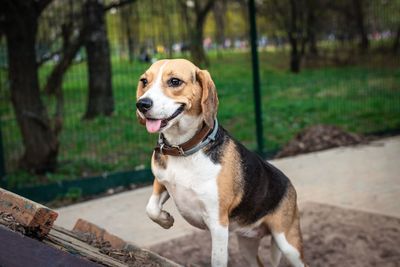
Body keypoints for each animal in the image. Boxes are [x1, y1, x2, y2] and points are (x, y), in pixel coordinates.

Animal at [136, 59, 308, 267]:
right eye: (144, 81)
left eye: (174, 81)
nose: (142, 104)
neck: (184, 150)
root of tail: (290, 185)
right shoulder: (161, 181)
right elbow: (151, 208)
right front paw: (165, 220)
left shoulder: (218, 224)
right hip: (247, 244)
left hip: (288, 243)